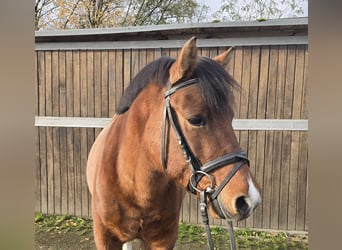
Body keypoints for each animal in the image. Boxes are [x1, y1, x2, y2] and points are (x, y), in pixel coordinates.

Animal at [87, 36, 260, 249]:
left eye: (231, 117)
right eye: (195, 119)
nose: (249, 199)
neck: (133, 185)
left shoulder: (164, 239)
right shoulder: (105, 238)